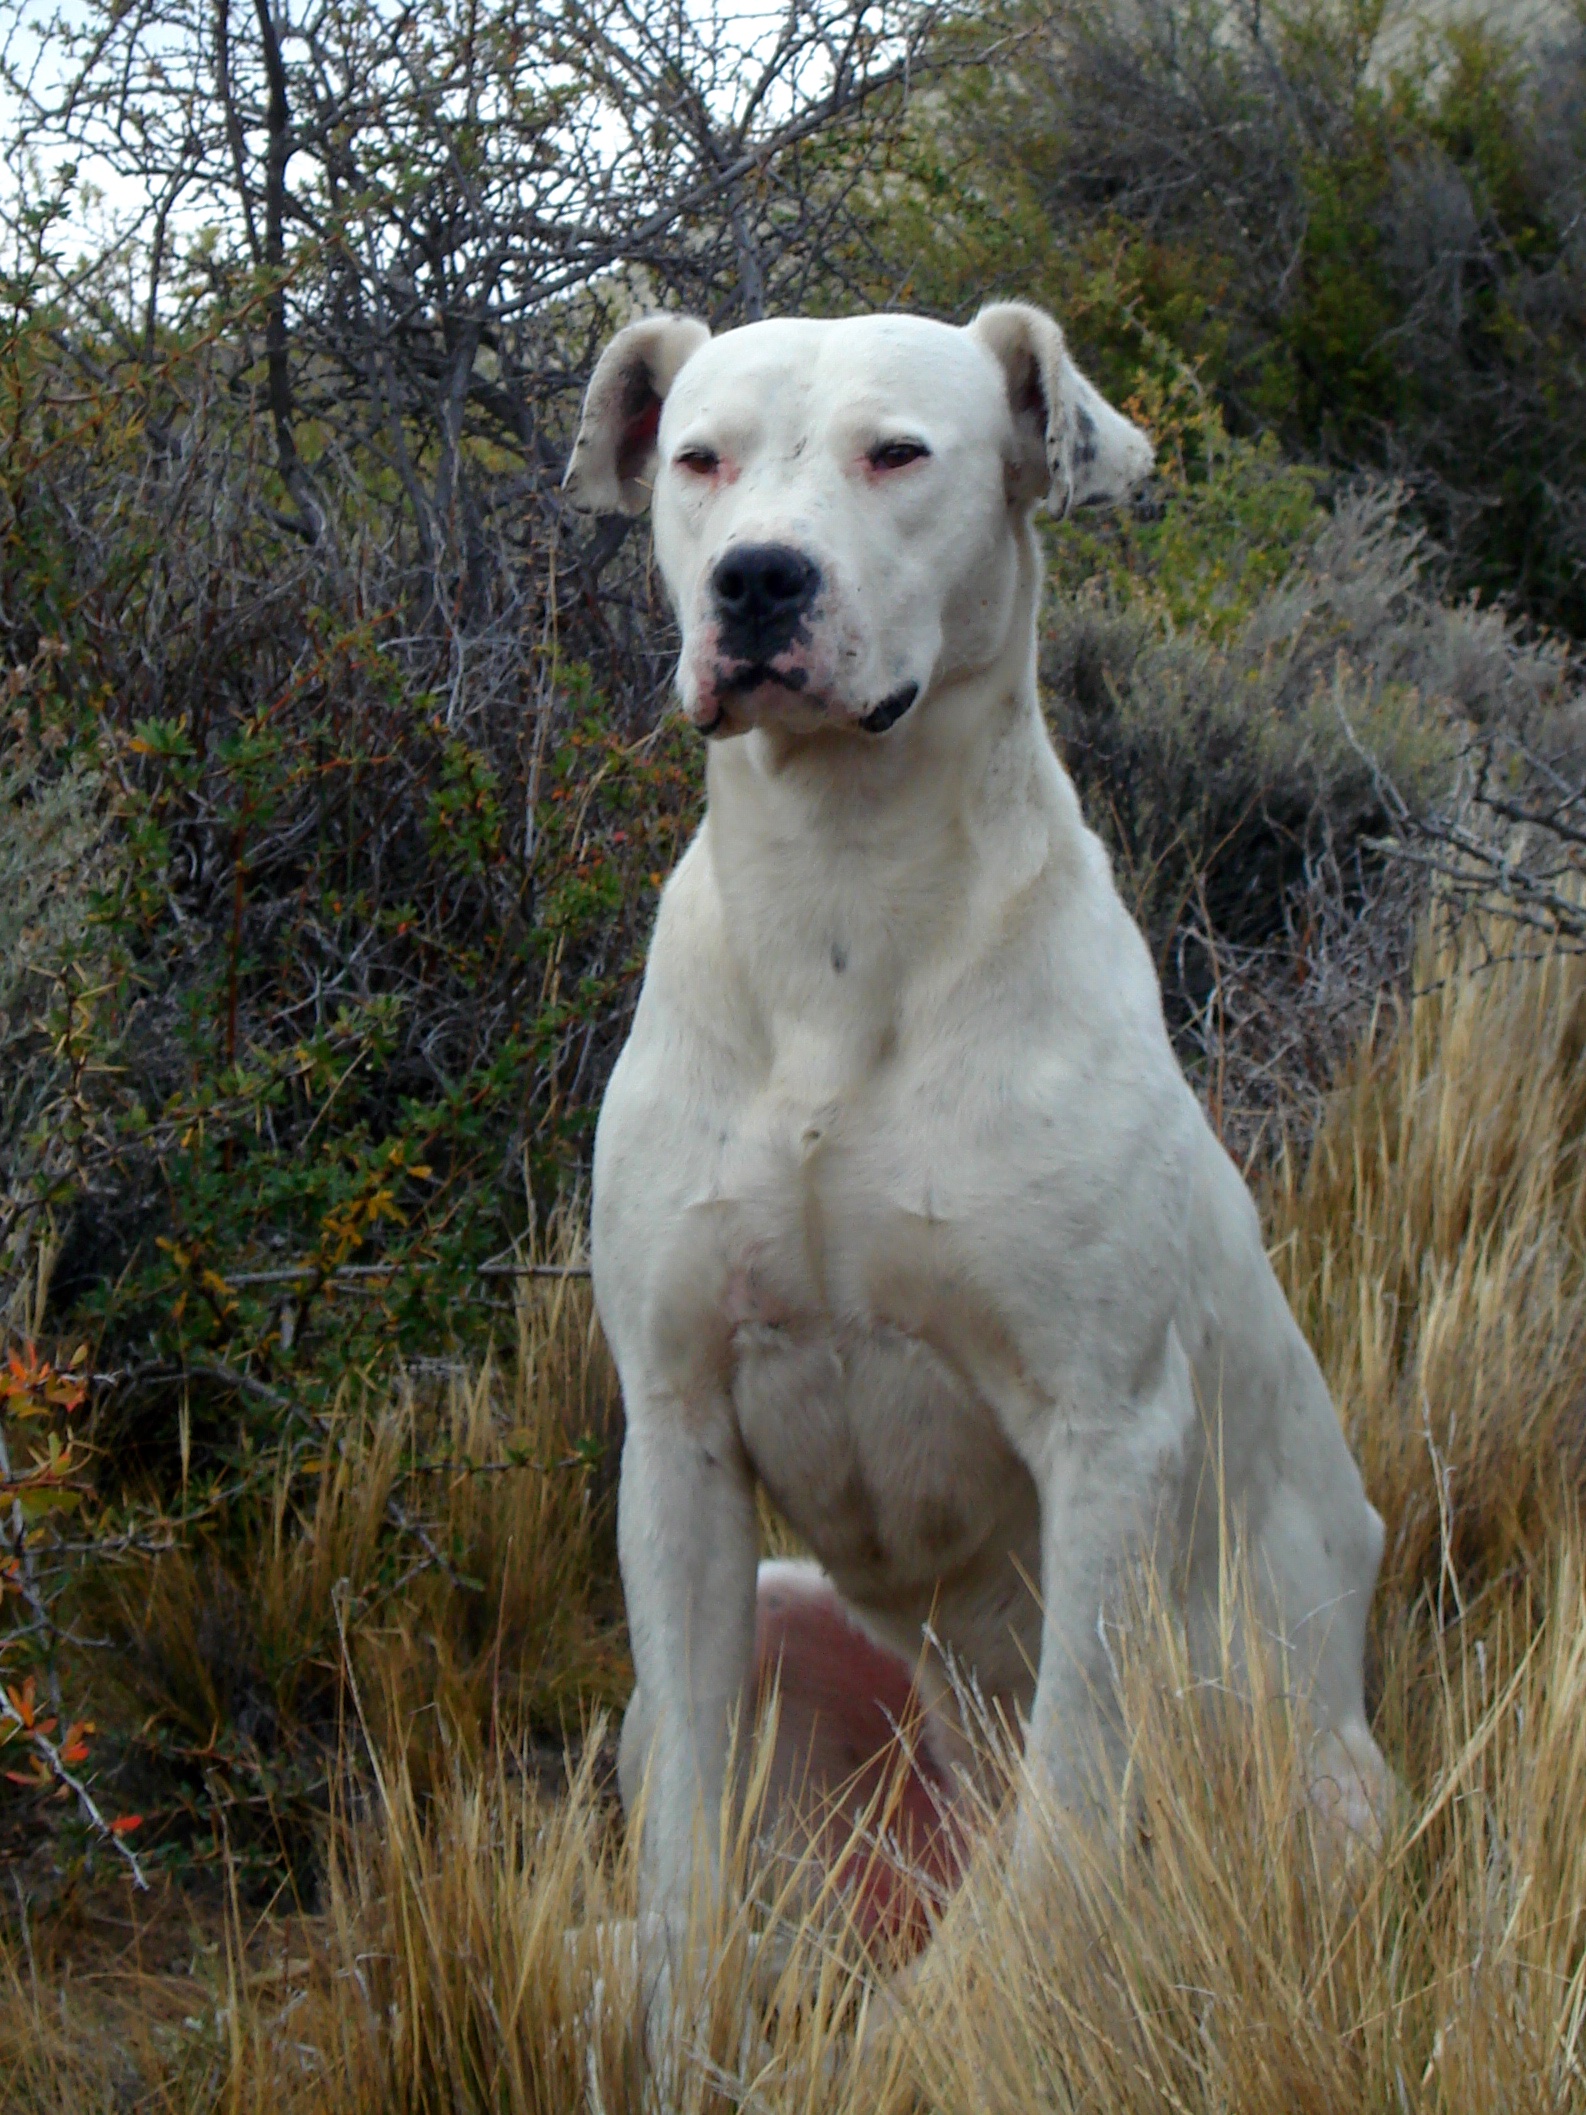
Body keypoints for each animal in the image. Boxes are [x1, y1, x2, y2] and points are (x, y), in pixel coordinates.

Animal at [566, 298, 1387, 1945]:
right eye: (699, 458)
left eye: (898, 453)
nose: (758, 579)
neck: (841, 904)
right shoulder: (678, 1432)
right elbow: (684, 1850)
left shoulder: (1108, 1432)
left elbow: (1067, 1818)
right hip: (785, 1626)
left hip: (1329, 1795)